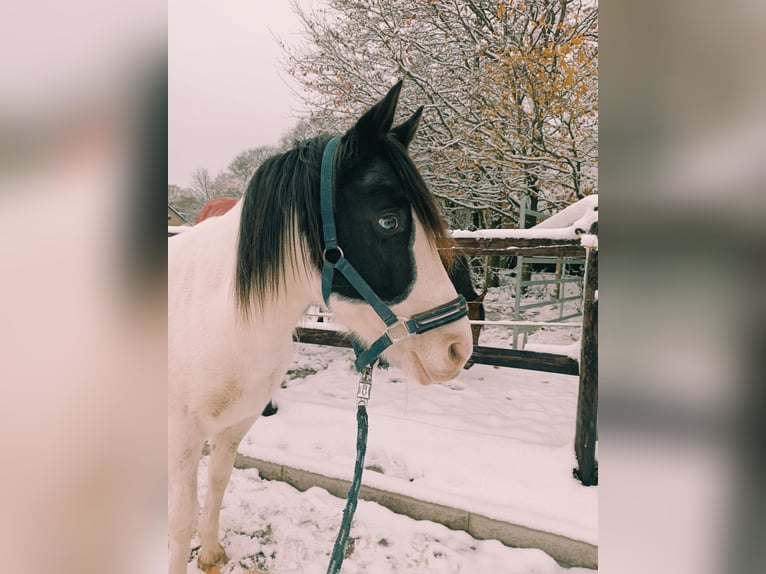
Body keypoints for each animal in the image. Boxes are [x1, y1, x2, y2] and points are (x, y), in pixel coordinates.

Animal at [170, 82, 474, 574]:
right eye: (389, 220)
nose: (456, 349)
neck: (219, 319)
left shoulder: (235, 425)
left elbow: (217, 483)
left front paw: (212, 553)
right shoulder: (182, 437)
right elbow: (180, 522)